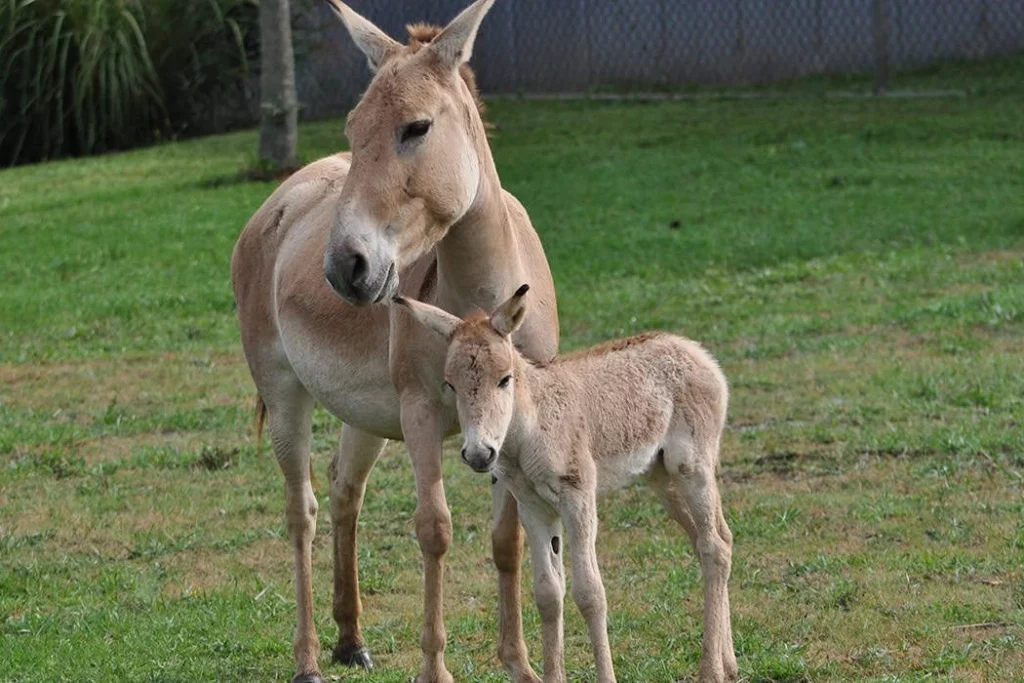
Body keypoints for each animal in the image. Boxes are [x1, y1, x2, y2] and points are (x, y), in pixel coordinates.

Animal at [395, 286, 741, 683]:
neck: (530, 428)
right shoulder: (533, 508)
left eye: (505, 379)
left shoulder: (578, 500)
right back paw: (728, 661)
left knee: (714, 547)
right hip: (662, 477)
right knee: (712, 539)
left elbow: (590, 593)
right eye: (451, 385)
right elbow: (548, 593)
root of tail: (695, 350)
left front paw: (606, 677)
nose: (480, 455)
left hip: (691, 469)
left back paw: (710, 670)